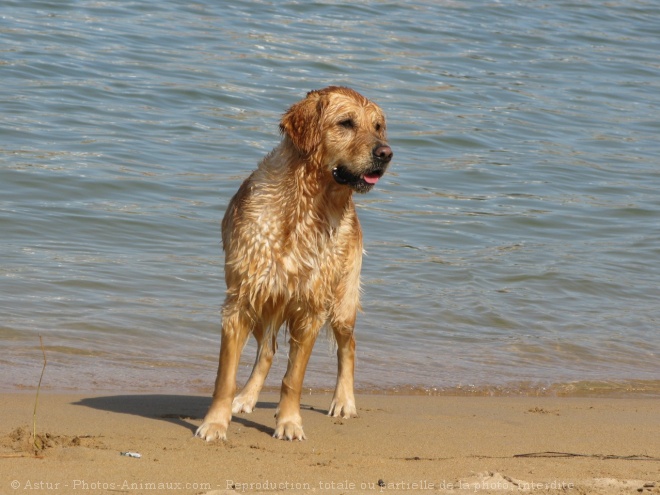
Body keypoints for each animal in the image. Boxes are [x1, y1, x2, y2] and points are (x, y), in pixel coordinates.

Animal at [195, 85, 392, 442]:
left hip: (341, 302)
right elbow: (225, 377)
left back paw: (344, 401)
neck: (307, 205)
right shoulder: (241, 300)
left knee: (349, 346)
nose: (386, 153)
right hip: (265, 305)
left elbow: (294, 379)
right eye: (346, 123)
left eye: (378, 126)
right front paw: (215, 423)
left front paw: (289, 422)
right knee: (268, 350)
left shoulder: (311, 308)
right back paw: (246, 398)